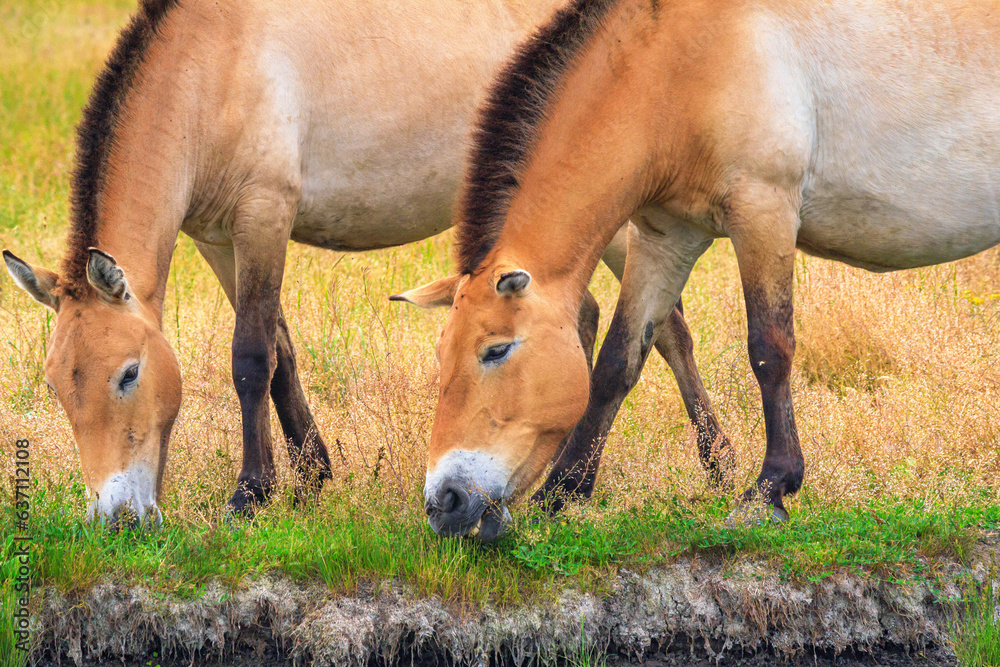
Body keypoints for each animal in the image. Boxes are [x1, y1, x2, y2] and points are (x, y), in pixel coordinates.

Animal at [4, 0, 730, 525]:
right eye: (56, 387)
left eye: (128, 374)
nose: (114, 517)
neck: (212, 65)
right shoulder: (217, 239)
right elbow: (281, 353)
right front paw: (311, 477)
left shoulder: (263, 215)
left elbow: (251, 356)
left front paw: (251, 493)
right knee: (588, 316)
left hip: (613, 220)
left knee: (666, 329)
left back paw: (710, 464)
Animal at [396, 0, 1000, 541]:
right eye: (440, 355)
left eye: (496, 350)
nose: (444, 502)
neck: (682, 66)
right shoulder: (666, 237)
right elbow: (617, 363)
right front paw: (562, 494)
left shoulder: (763, 211)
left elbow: (769, 349)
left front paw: (769, 492)